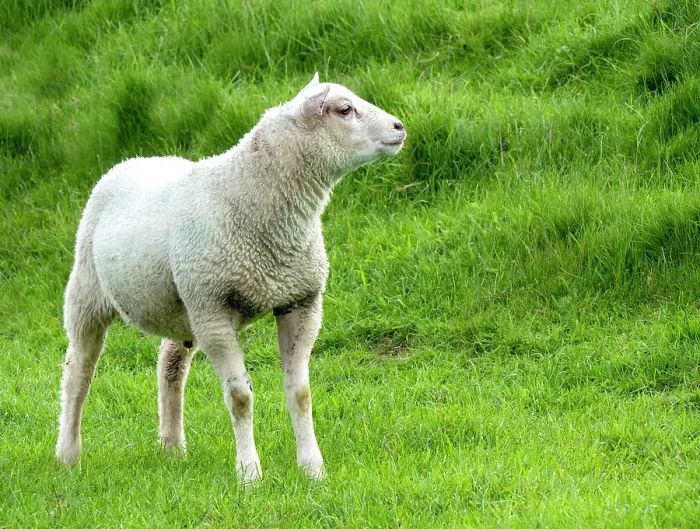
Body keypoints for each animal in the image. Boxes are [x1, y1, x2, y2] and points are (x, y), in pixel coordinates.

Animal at [56, 73, 406, 481]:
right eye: (345, 109)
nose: (399, 127)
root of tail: (134, 160)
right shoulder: (215, 311)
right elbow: (240, 397)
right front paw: (249, 473)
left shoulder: (300, 300)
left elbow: (300, 393)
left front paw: (312, 468)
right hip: (92, 291)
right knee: (78, 372)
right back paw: (68, 454)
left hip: (184, 303)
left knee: (170, 364)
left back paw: (172, 447)